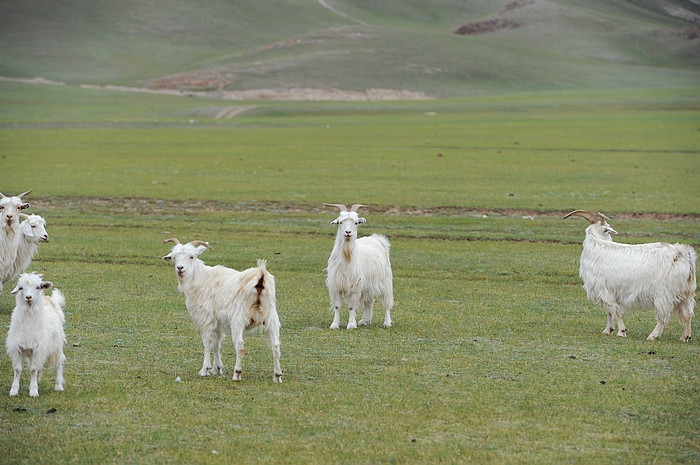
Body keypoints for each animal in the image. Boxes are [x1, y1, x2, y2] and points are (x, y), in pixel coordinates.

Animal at [163, 237, 284, 382]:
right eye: (174, 257)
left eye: (192, 256)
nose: (180, 268)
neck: (201, 279)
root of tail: (260, 276)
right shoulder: (218, 321)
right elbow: (217, 343)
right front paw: (217, 369)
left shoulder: (207, 318)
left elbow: (207, 342)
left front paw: (205, 369)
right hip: (271, 316)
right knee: (275, 345)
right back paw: (277, 376)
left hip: (238, 318)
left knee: (240, 344)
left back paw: (237, 374)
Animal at [568, 210, 696, 340]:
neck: (597, 246)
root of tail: (682, 254)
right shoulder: (607, 291)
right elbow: (609, 311)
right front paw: (608, 330)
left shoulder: (604, 289)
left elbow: (614, 310)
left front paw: (621, 331)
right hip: (686, 292)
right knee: (688, 314)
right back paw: (685, 337)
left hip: (663, 293)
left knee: (663, 316)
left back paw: (653, 336)